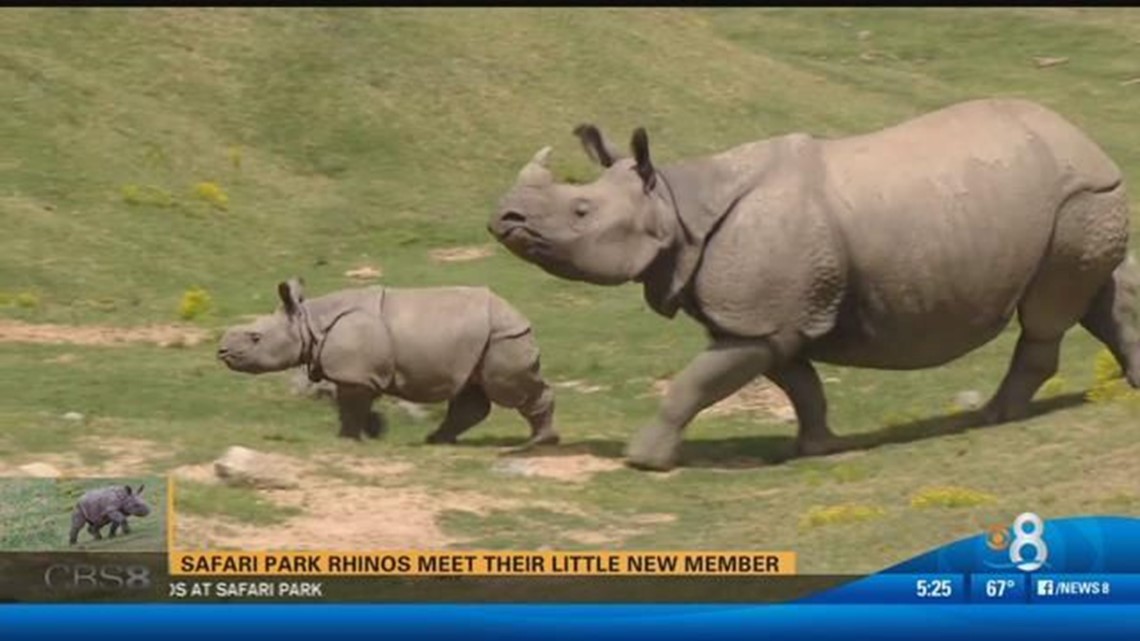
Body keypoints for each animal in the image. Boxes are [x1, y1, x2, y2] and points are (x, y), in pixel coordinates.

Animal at [215, 277, 558, 447]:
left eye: (255, 337)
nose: (222, 351)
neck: (309, 322)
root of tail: (519, 315)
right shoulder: (361, 373)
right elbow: (358, 406)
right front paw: (374, 432)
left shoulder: (354, 372)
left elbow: (351, 406)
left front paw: (347, 440)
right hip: (485, 339)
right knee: (471, 391)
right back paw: (437, 441)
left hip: (504, 337)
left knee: (510, 392)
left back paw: (538, 443)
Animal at [490, 98, 1140, 469]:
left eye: (579, 211)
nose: (504, 217)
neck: (674, 204)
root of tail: (1084, 139)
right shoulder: (772, 320)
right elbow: (799, 383)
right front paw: (817, 449)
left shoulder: (757, 321)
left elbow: (695, 384)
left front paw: (641, 461)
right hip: (1078, 196)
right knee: (1099, 295)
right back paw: (1130, 391)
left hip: (1077, 196)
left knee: (1050, 309)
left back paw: (994, 418)